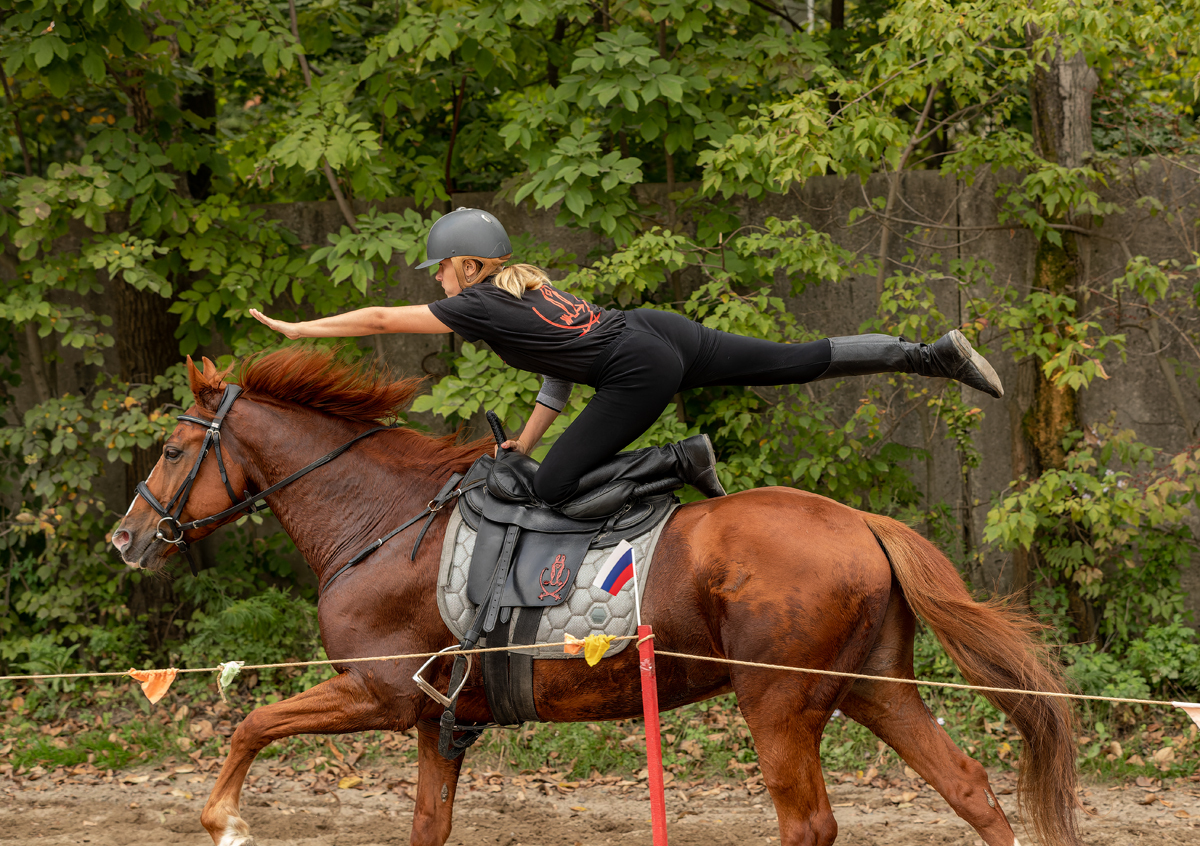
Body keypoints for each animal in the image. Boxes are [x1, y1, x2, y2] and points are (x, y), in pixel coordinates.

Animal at [112, 348, 1084, 844]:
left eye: (171, 448)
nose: (126, 539)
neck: (378, 520)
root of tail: (863, 523)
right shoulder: (435, 720)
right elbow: (426, 823)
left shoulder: (380, 694)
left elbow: (251, 722)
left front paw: (223, 819)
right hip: (873, 688)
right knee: (970, 789)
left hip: (780, 702)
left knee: (810, 823)